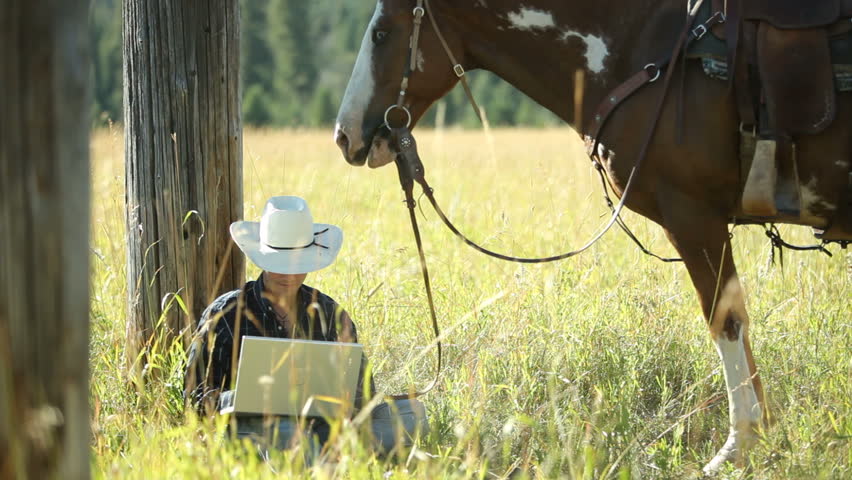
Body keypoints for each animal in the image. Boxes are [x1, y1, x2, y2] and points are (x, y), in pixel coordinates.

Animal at [332, 0, 852, 472]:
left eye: (381, 33)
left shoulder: (693, 216)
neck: (644, 48)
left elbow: (726, 320)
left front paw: (740, 445)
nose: (344, 135)